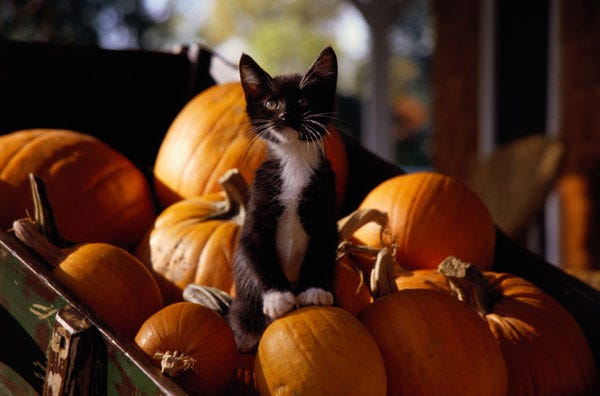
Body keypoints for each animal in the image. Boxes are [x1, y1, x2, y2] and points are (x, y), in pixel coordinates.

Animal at [230, 46, 340, 352]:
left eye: (302, 100)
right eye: (271, 103)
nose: (284, 115)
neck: (294, 160)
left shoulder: (326, 209)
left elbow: (321, 249)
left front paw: (314, 291)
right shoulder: (258, 206)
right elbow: (256, 249)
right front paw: (278, 297)